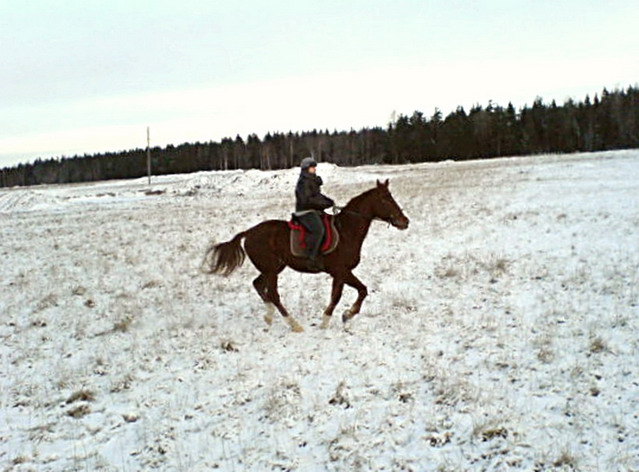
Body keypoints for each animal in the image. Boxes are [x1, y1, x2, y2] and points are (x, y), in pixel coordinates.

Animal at [204, 180, 410, 332]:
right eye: (385, 199)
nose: (405, 221)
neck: (346, 231)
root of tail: (249, 232)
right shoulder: (341, 271)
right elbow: (345, 294)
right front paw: (332, 319)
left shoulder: (340, 273)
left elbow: (354, 292)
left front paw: (344, 316)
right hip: (271, 270)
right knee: (273, 294)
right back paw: (294, 324)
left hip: (274, 268)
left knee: (258, 285)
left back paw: (269, 316)